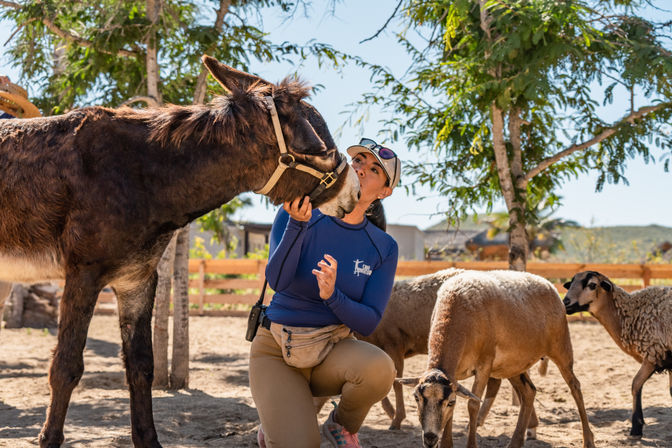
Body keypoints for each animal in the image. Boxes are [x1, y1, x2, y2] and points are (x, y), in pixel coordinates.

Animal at [400, 270, 595, 448]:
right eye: (416, 398)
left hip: (561, 347)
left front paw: (471, 445)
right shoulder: (454, 374)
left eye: (450, 402)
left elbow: (473, 404)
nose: (430, 438)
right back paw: (515, 443)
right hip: (513, 364)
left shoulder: (484, 364)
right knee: (529, 392)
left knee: (575, 387)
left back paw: (588, 440)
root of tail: (549, 285)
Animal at [563, 270, 672, 439]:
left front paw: (636, 427)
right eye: (571, 284)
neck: (630, 314)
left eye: (592, 285)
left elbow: (635, 384)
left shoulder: (653, 353)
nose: (565, 302)